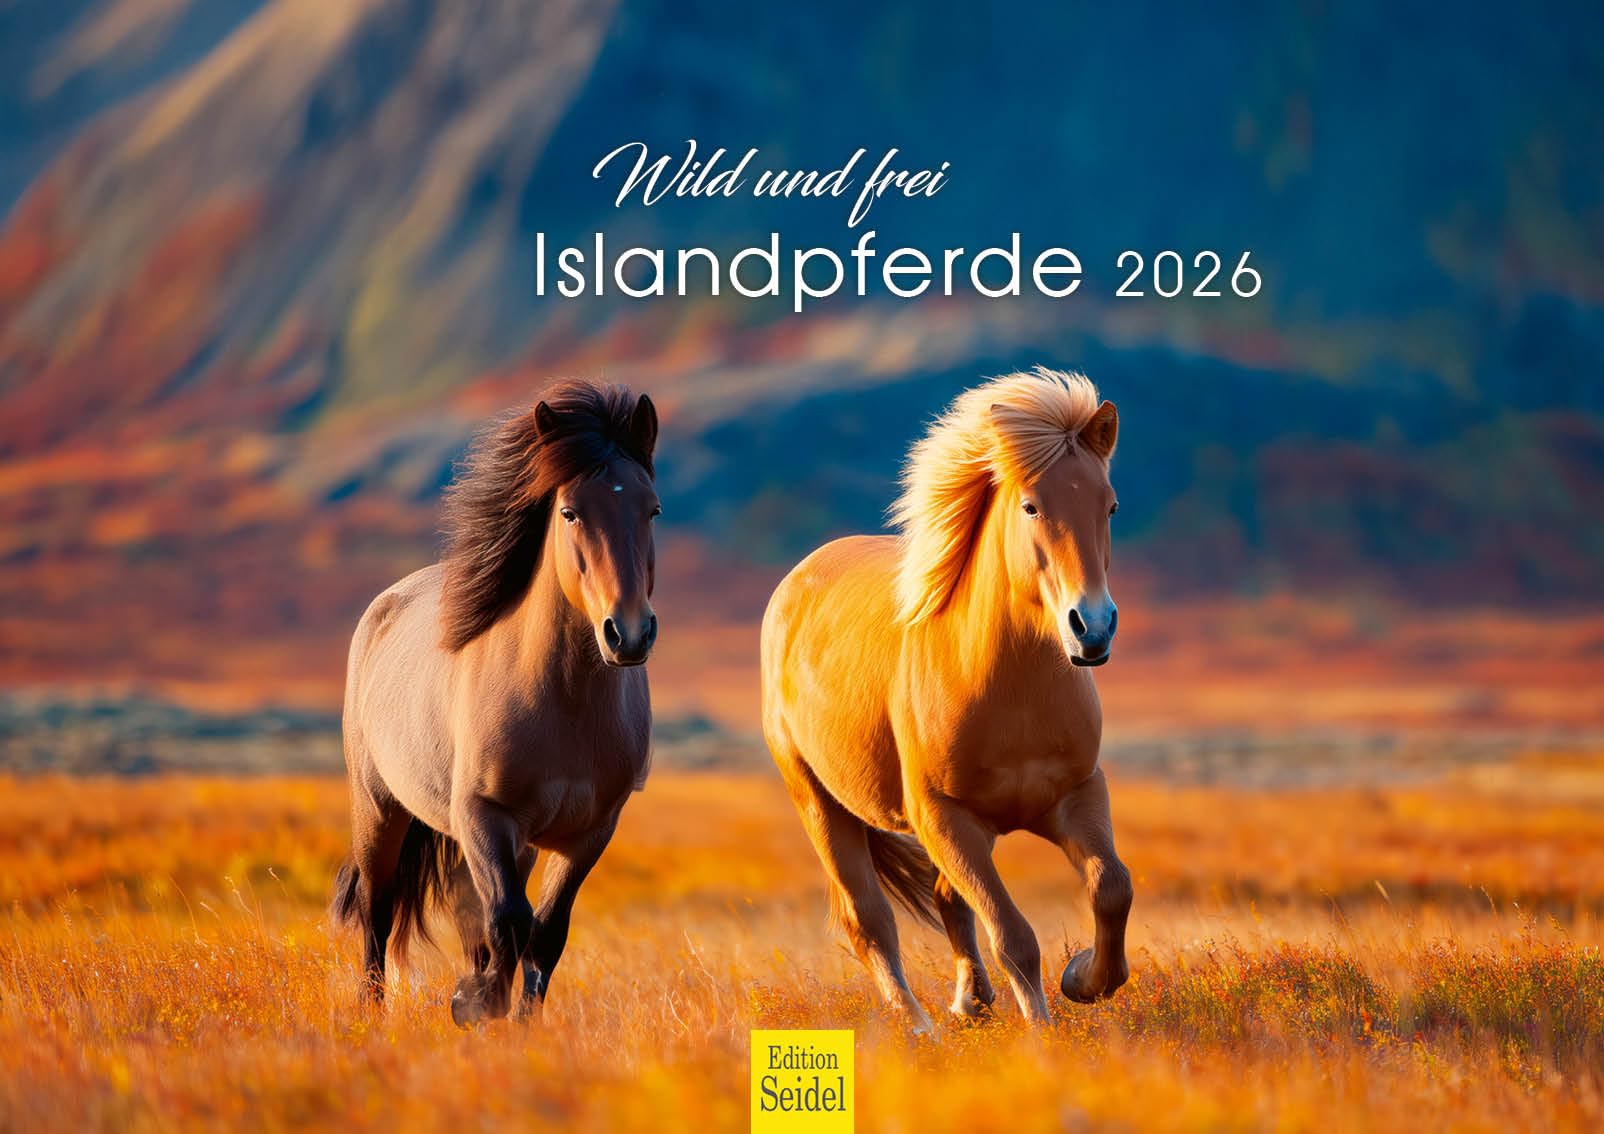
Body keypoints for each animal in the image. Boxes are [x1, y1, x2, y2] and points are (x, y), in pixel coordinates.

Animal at [332, 379, 661, 1026]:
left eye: (653, 509)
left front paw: (517, 1019)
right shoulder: (483, 815)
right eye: (570, 512)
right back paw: (371, 1011)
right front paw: (475, 1003)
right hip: (379, 809)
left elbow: (544, 933)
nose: (629, 634)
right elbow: (509, 922)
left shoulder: (589, 832)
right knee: (378, 912)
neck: (565, 706)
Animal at [760, 367, 1130, 1032]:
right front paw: (1043, 1032)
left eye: (1109, 504)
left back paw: (969, 1001)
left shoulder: (1077, 795)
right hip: (819, 804)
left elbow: (1111, 886)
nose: (1092, 628)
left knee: (943, 901)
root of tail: (799, 577)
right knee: (869, 921)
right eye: (1031, 505)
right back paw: (919, 1027)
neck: (1012, 694)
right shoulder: (948, 821)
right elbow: (1013, 934)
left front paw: (1085, 979)